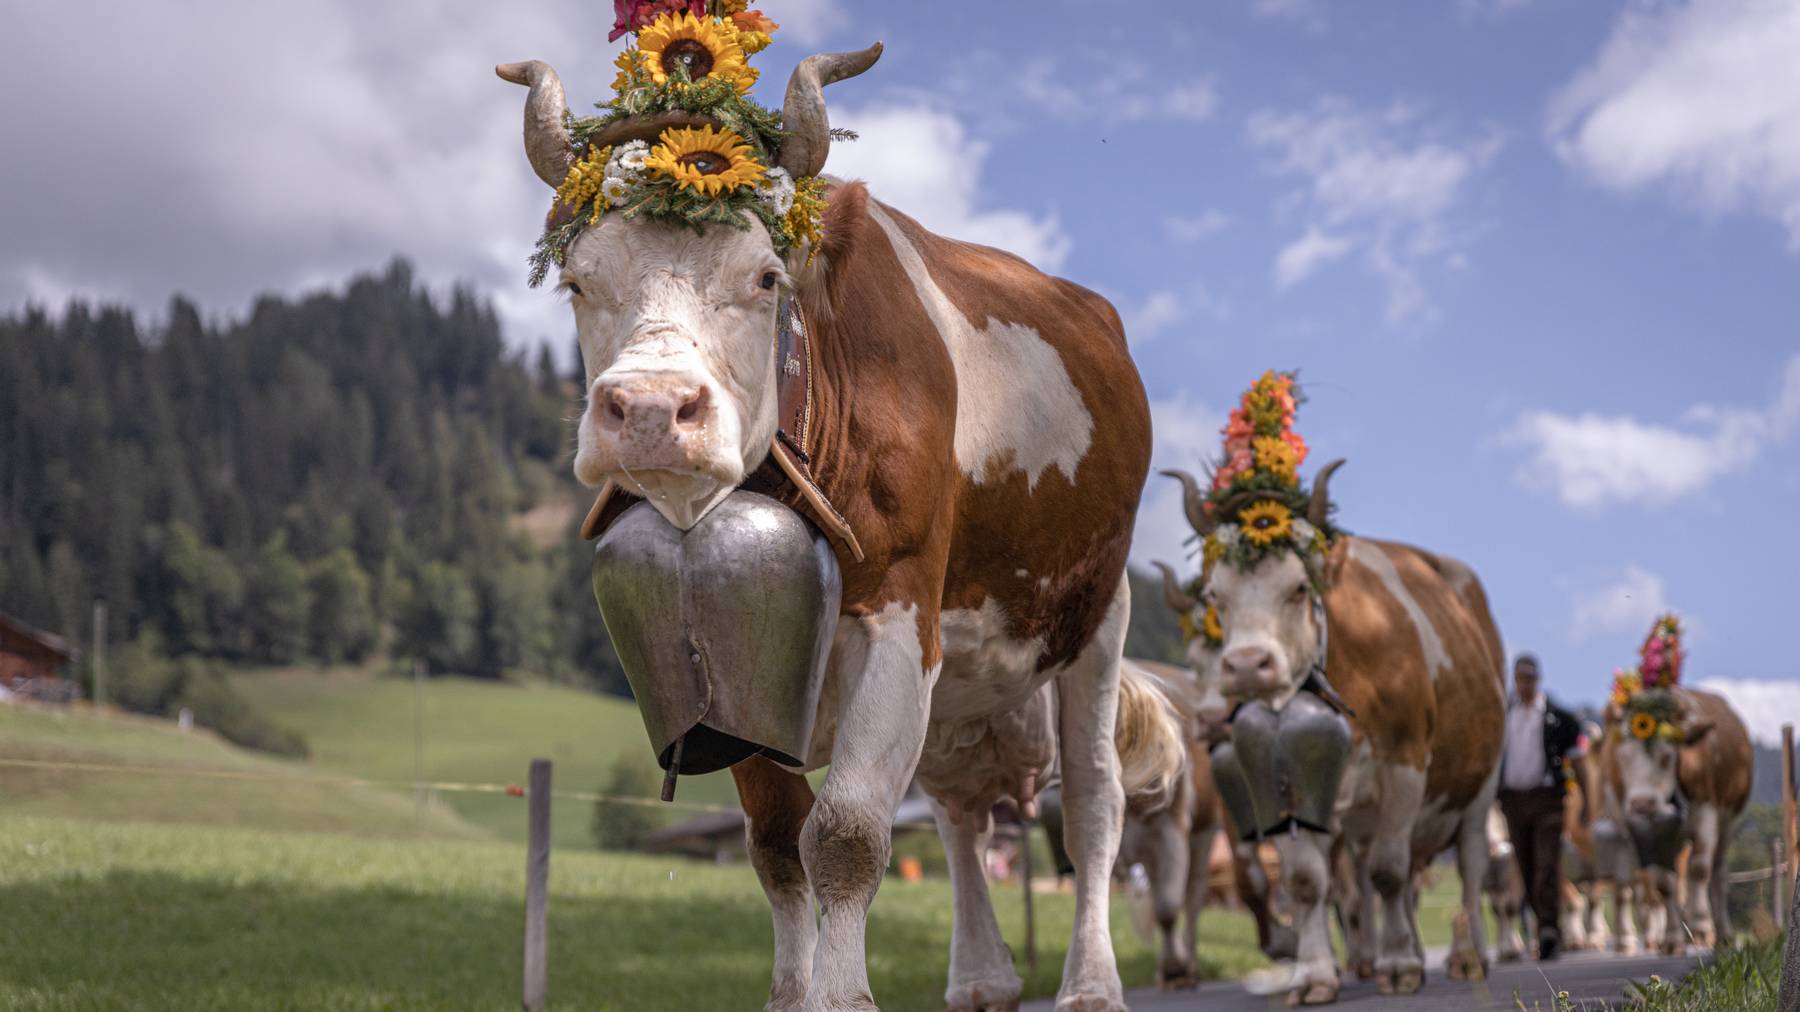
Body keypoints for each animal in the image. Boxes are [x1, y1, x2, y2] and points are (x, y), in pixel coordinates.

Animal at [504, 47, 1152, 1008]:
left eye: (766, 277)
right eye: (578, 280)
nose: (651, 410)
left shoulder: (900, 619)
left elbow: (845, 836)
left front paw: (840, 994)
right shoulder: (736, 673)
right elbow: (780, 846)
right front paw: (791, 992)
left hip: (1099, 616)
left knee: (1093, 808)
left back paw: (1090, 983)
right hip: (962, 680)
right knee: (960, 813)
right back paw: (982, 978)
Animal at [1152, 471, 1504, 1001]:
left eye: (1299, 588)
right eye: (1216, 596)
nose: (1248, 666)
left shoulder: (1405, 763)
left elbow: (1388, 872)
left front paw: (1398, 965)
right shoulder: (1280, 785)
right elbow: (1306, 882)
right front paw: (1316, 974)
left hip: (1480, 785)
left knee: (1470, 866)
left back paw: (1467, 956)